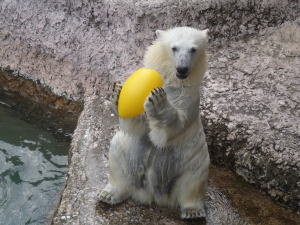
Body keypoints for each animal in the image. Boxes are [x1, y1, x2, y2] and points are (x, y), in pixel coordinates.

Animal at [99, 26, 210, 220]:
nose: (182, 69)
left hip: (192, 157)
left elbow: (173, 129)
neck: (173, 81)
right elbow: (137, 125)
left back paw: (193, 211)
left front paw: (159, 102)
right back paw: (110, 194)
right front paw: (118, 94)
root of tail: (154, 195)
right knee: (117, 152)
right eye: (174, 48)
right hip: (131, 156)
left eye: (193, 49)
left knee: (194, 177)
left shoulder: (190, 98)